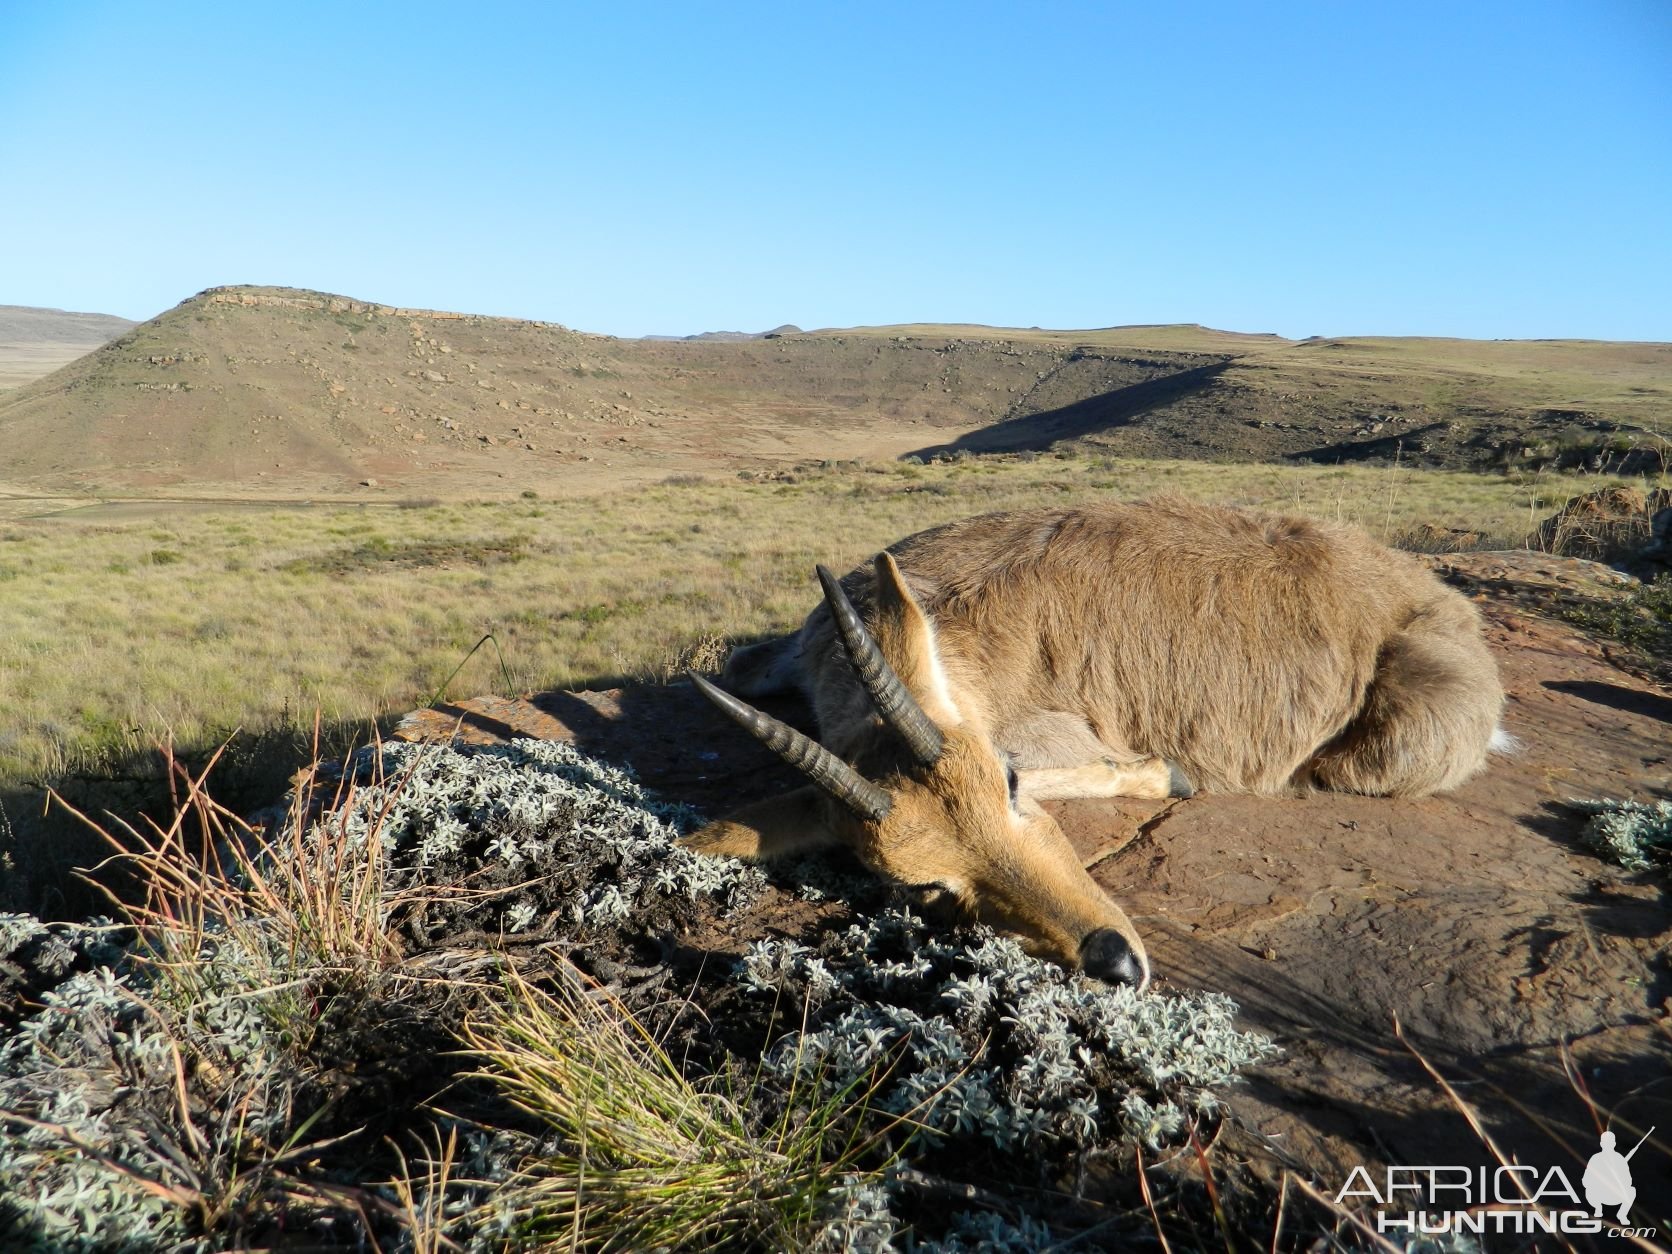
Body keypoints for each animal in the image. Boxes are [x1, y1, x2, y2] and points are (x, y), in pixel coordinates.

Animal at [685, 501, 1511, 989]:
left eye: (1009, 784)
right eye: (923, 889)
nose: (1115, 962)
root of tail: (1433, 596)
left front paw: (1171, 774)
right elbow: (739, 665)